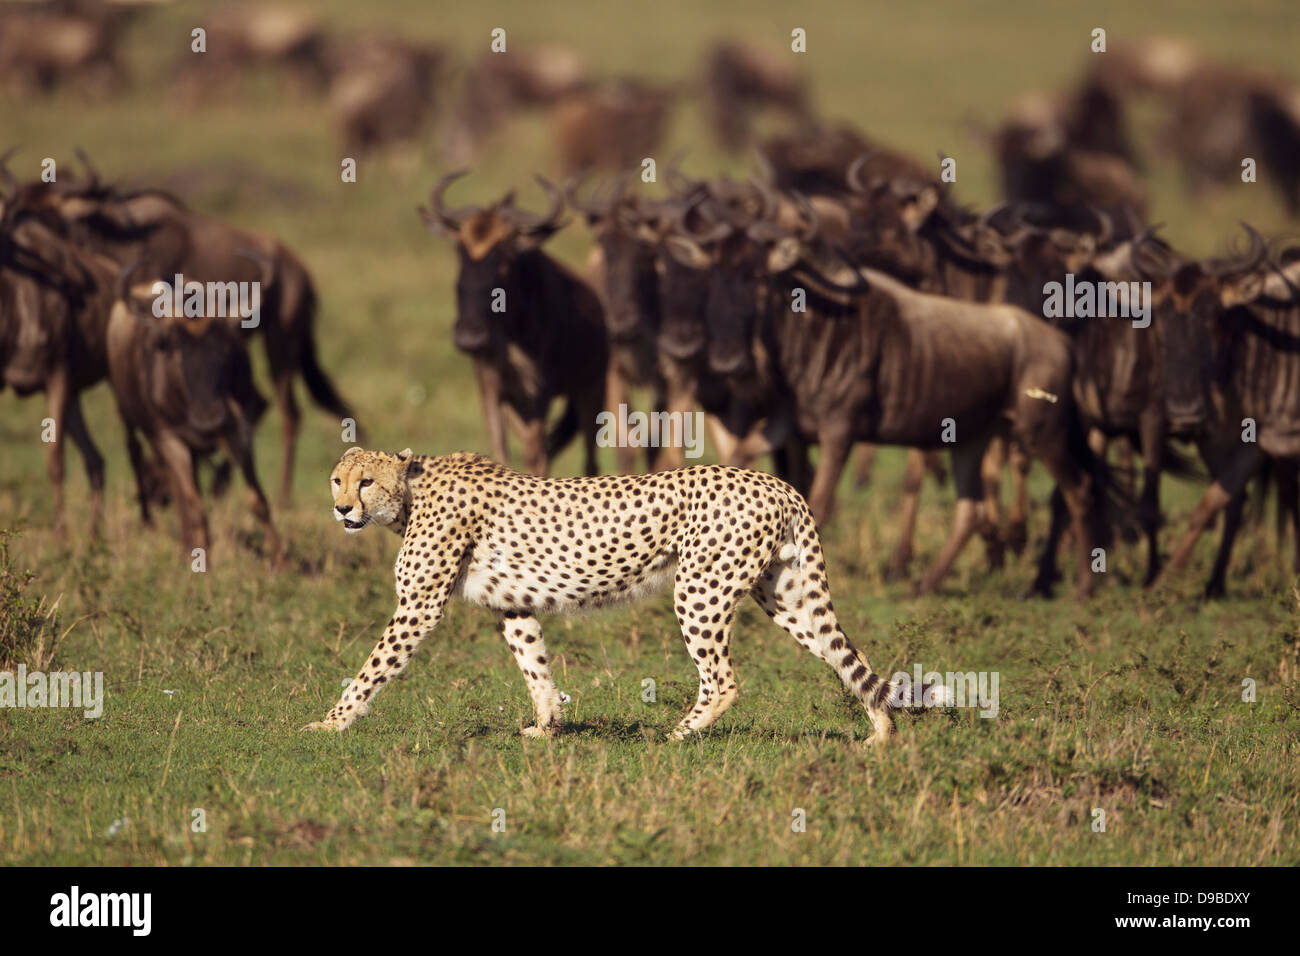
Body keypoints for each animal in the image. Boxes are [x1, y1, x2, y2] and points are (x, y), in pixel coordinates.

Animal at [302, 444, 909, 743]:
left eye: (366, 482)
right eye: (337, 478)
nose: (341, 508)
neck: (411, 492)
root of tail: (778, 483)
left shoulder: (419, 606)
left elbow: (371, 669)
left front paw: (330, 725)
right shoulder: (513, 604)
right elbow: (535, 666)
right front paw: (546, 727)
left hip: (700, 589)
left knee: (723, 679)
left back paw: (676, 736)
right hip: (783, 594)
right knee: (844, 655)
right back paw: (881, 734)